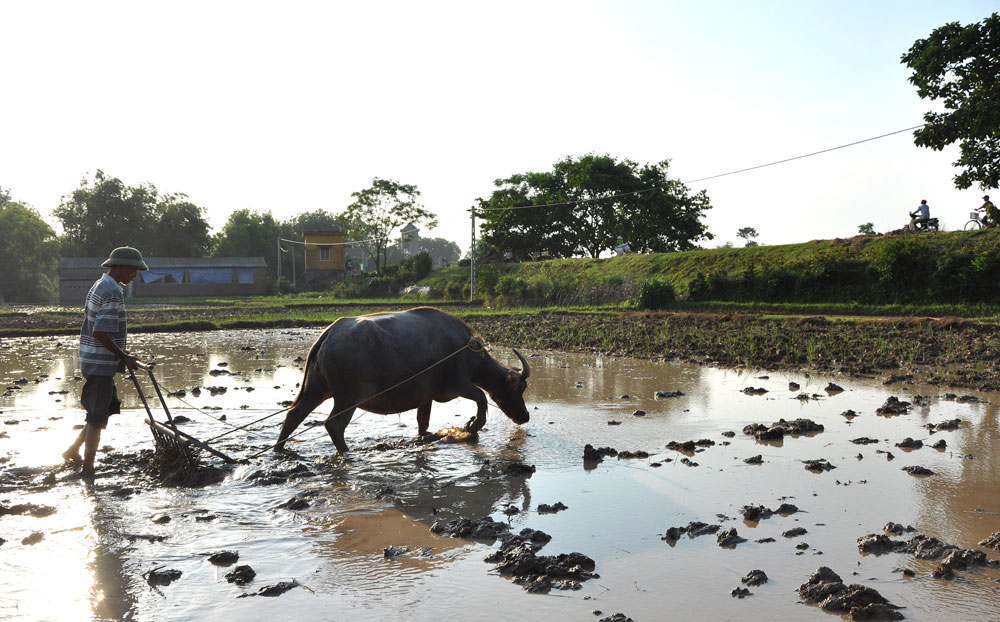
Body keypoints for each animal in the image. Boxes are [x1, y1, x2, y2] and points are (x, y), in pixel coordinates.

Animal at [270, 308, 528, 454]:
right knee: (334, 425)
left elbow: (423, 421)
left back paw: (279, 449)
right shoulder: (459, 385)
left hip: (316, 388)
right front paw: (473, 426)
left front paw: (427, 436)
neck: (468, 351)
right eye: (521, 388)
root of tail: (328, 334)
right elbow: (482, 398)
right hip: (348, 397)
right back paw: (347, 454)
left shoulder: (426, 396)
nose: (525, 416)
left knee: (294, 414)